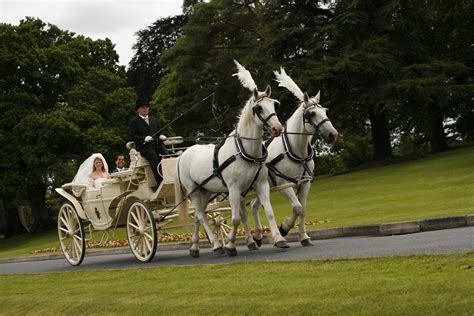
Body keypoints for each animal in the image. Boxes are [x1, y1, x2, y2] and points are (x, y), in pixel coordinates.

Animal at [175, 59, 288, 256]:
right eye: (258, 108)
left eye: (275, 104)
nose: (277, 128)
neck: (245, 151)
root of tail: (183, 155)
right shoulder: (234, 189)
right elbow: (235, 218)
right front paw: (230, 245)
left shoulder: (261, 185)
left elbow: (269, 211)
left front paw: (279, 239)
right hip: (193, 190)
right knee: (201, 215)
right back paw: (216, 245)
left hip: (206, 190)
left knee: (198, 215)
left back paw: (195, 247)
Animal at [250, 68, 338, 247]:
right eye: (312, 113)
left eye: (325, 111)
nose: (333, 134)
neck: (296, 150)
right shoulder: (284, 184)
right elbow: (297, 207)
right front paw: (284, 228)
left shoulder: (305, 183)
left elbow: (302, 210)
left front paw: (304, 237)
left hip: (261, 186)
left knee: (254, 207)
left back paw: (257, 236)